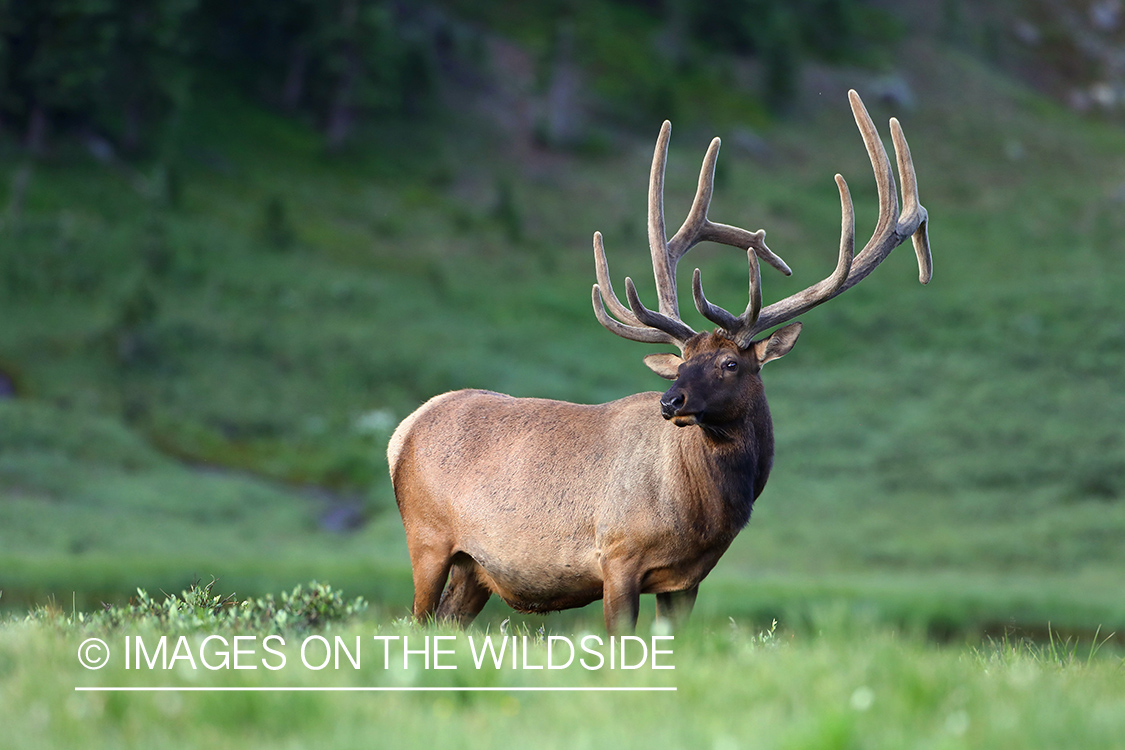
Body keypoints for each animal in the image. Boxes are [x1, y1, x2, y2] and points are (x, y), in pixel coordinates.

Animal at [387, 92, 931, 634]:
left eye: (730, 364)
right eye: (682, 360)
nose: (671, 401)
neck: (702, 513)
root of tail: (402, 432)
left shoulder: (686, 580)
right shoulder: (617, 555)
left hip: (475, 569)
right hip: (427, 538)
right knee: (415, 616)